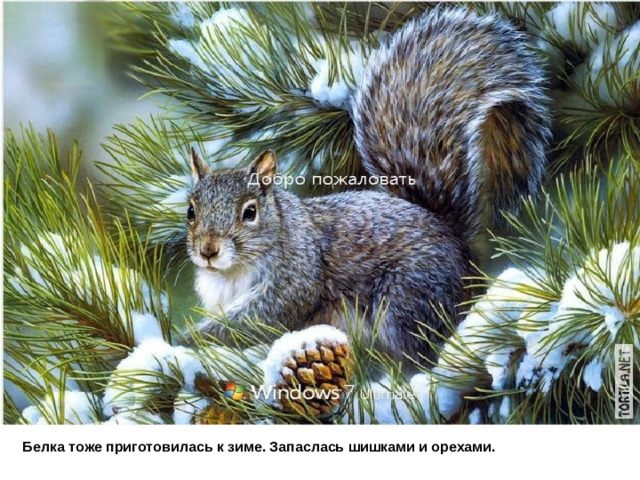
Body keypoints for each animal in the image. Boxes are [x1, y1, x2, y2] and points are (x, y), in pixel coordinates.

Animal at [185, 8, 551, 364]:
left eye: (250, 212)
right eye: (191, 211)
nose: (208, 251)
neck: (232, 272)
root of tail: (459, 248)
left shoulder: (296, 276)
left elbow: (262, 317)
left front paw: (195, 338)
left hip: (409, 296)